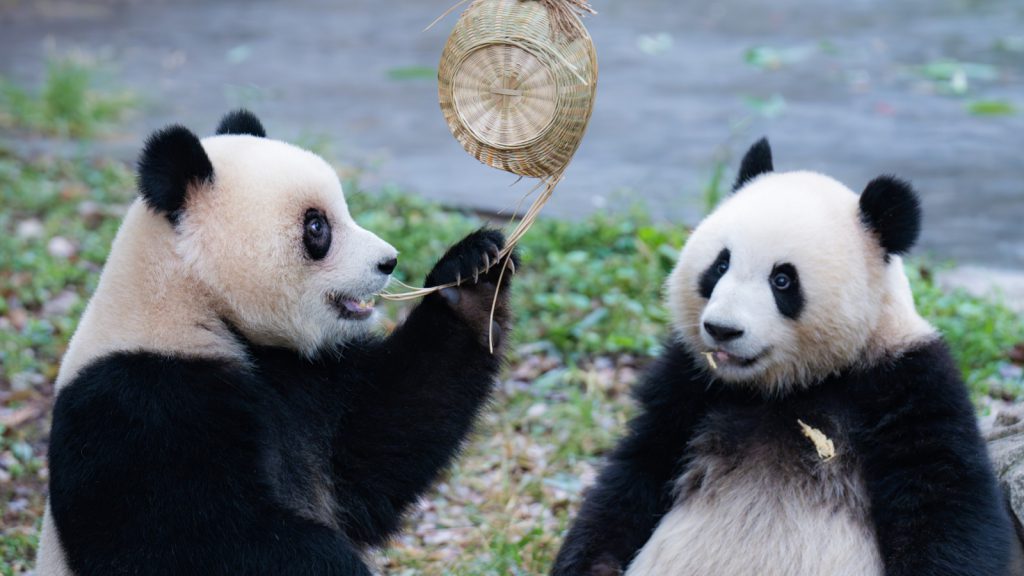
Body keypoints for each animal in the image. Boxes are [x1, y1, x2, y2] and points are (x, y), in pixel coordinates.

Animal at [37, 109, 518, 576]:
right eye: (317, 225)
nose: (388, 261)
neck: (195, 304)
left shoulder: (307, 377)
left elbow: (379, 444)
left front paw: (472, 278)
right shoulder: (137, 402)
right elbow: (179, 540)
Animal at [551, 138, 1014, 576]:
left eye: (782, 280)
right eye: (720, 265)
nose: (722, 329)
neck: (784, 386)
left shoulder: (904, 379)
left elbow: (942, 496)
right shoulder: (688, 382)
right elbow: (637, 471)